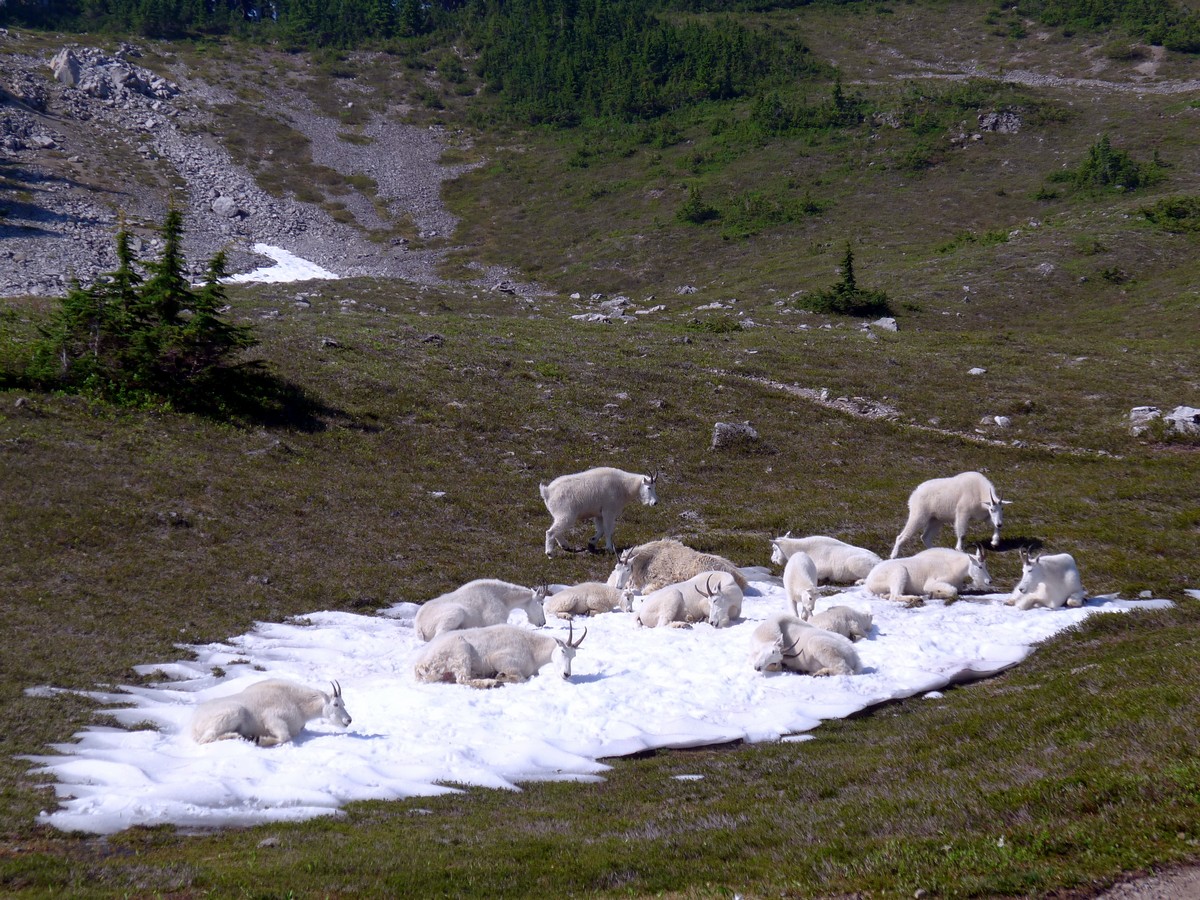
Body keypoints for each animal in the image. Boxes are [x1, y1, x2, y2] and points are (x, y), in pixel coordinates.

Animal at [190, 681, 350, 748]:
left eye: (344, 703)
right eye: (336, 704)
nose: (348, 720)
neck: (300, 706)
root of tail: (194, 725)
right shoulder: (273, 718)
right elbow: (284, 737)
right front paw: (261, 740)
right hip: (234, 712)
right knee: (207, 739)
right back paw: (242, 736)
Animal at [412, 578, 544, 643]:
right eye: (541, 603)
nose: (543, 622)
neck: (503, 598)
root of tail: (419, 625)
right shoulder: (496, 619)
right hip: (456, 613)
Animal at [415, 619, 588, 691]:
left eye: (574, 656)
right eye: (562, 650)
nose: (566, 674)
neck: (533, 649)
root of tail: (420, 664)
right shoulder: (502, 660)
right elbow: (520, 678)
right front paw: (500, 676)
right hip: (460, 651)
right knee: (463, 679)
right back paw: (491, 682)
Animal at [614, 540, 744, 595]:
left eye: (627, 569)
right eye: (616, 568)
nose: (618, 587)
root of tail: (740, 578)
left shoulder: (664, 580)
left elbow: (645, 591)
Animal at [864, 547, 993, 602]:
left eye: (986, 566)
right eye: (980, 566)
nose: (989, 581)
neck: (953, 567)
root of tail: (869, 581)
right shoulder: (932, 583)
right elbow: (953, 590)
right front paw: (933, 594)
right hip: (899, 572)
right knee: (895, 596)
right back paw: (915, 598)